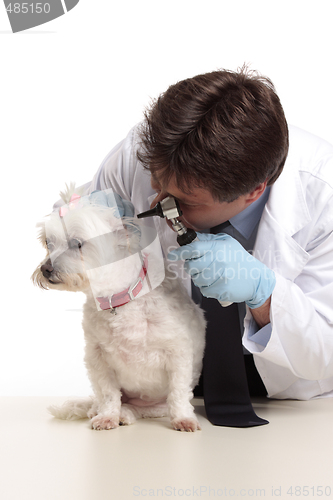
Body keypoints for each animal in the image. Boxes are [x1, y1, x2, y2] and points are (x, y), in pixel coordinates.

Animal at [33, 186, 205, 432]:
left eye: (76, 243)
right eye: (48, 243)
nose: (45, 268)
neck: (118, 300)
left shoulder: (179, 353)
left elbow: (179, 392)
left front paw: (183, 418)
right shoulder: (97, 358)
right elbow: (108, 394)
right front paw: (107, 416)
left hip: (157, 405)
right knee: (106, 401)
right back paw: (113, 413)